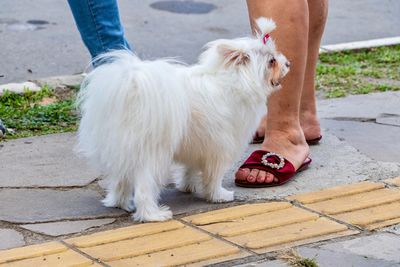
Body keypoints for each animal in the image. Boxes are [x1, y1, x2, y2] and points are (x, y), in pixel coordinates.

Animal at [76, 17, 290, 223]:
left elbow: (191, 168)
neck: (236, 80)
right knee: (144, 188)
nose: (288, 63)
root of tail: (131, 90)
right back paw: (153, 215)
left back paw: (120, 203)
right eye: (271, 61)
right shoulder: (220, 147)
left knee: (121, 180)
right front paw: (218, 195)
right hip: (152, 154)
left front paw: (188, 186)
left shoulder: (197, 144)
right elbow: (214, 176)